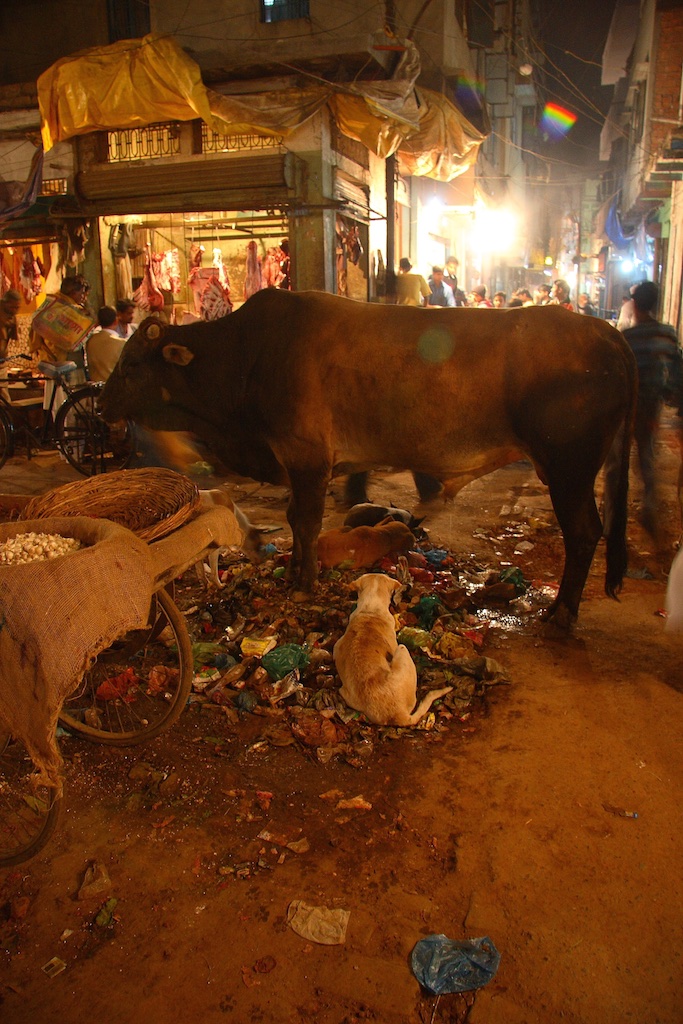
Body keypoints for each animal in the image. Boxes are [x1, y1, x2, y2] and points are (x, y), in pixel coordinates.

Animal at [100, 284, 634, 626]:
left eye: (129, 366)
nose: (101, 402)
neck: (247, 357)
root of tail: (605, 331)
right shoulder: (299, 462)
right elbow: (295, 521)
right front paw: (294, 574)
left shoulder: (308, 457)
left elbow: (306, 522)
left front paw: (303, 583)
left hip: (569, 468)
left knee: (585, 533)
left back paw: (562, 613)